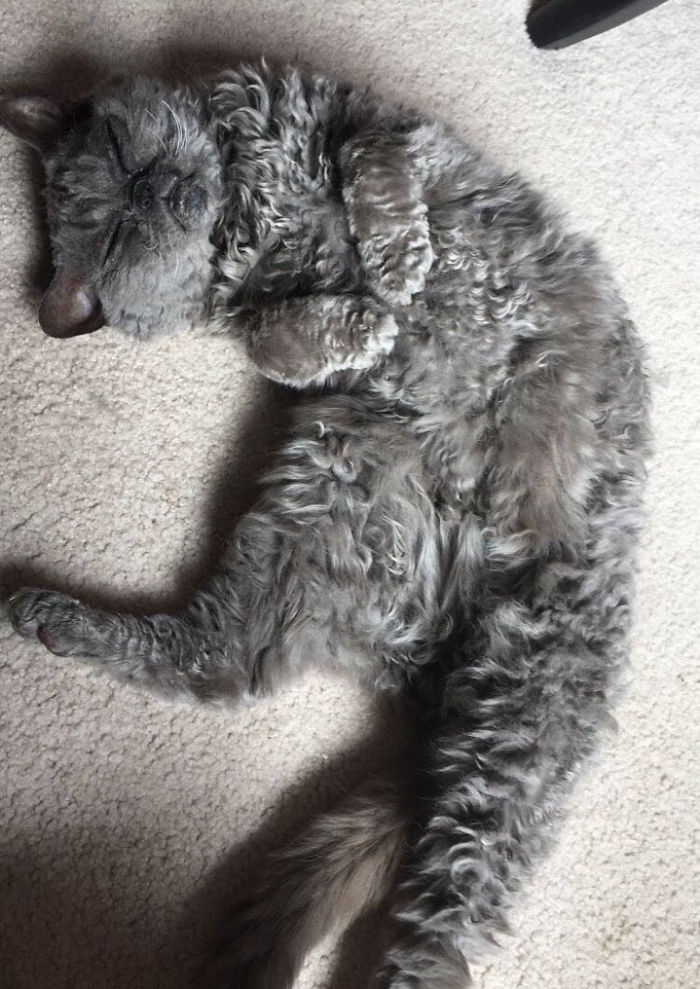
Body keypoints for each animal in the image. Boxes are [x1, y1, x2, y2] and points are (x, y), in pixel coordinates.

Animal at [0, 63, 652, 988]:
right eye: (119, 233)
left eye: (126, 158)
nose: (158, 187)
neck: (245, 213)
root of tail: (430, 683)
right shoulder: (256, 315)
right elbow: (270, 336)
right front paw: (369, 318)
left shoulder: (381, 124)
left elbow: (373, 170)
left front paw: (397, 263)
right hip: (328, 497)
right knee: (223, 667)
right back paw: (49, 616)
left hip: (506, 684)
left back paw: (51, 618)